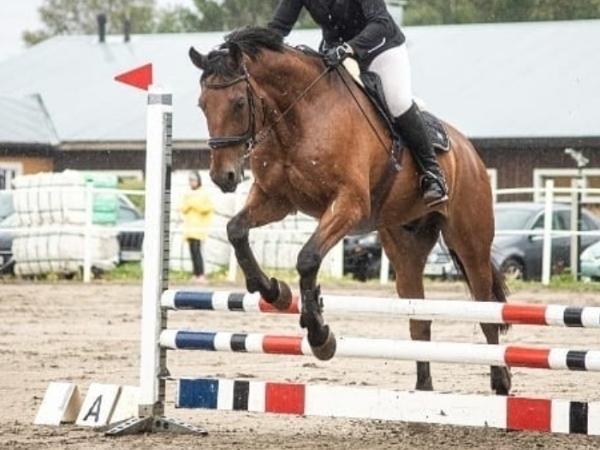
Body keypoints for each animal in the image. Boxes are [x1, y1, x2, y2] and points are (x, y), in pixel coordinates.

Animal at [188, 27, 511, 395]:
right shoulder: (275, 199)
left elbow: (307, 258)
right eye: (202, 105)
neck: (298, 116)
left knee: (486, 308)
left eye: (239, 103)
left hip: (469, 241)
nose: (223, 177)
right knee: (418, 316)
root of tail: (468, 150)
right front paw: (275, 292)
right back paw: (423, 389)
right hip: (405, 247)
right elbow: (236, 231)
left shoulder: (349, 204)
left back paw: (500, 381)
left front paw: (319, 335)